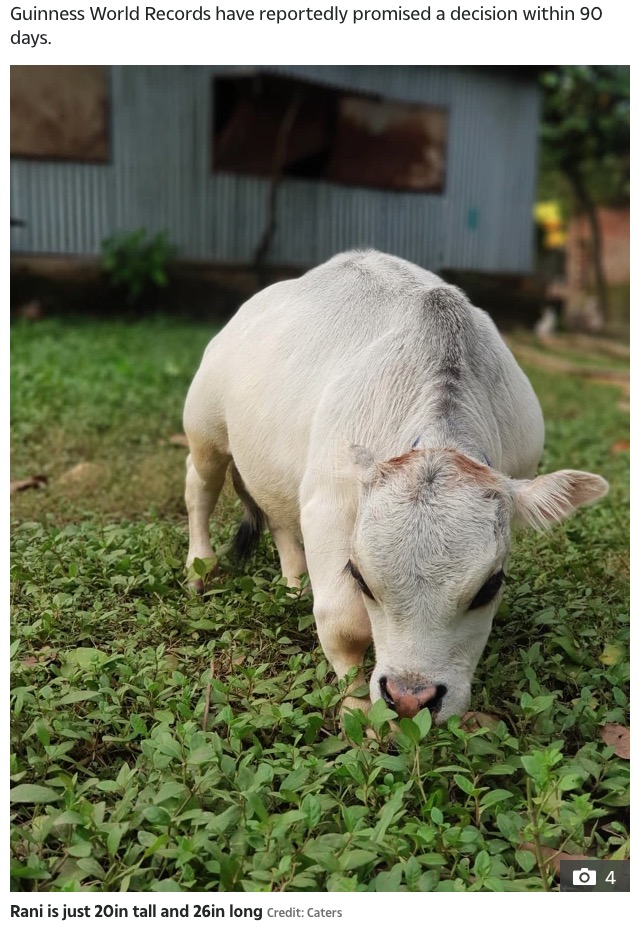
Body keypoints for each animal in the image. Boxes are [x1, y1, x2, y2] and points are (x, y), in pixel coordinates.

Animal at [184, 250, 608, 720]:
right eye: (361, 579)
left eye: (490, 586)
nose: (410, 698)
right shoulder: (329, 507)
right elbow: (343, 623)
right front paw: (359, 714)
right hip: (205, 430)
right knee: (199, 486)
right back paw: (199, 568)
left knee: (276, 515)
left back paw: (295, 582)